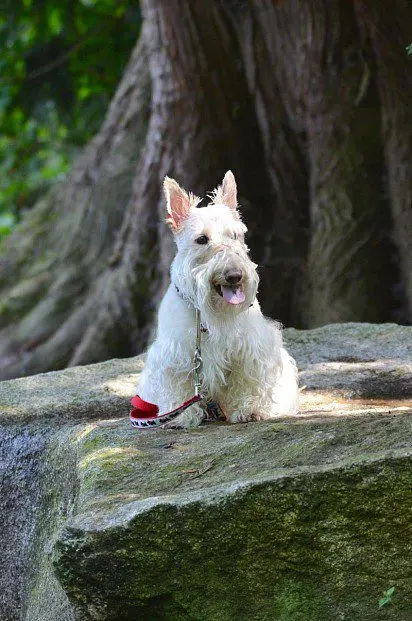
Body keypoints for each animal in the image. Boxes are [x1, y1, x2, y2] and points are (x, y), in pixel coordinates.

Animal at [135, 172, 300, 428]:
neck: (211, 312)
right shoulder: (175, 353)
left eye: (235, 235)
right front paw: (181, 415)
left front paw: (248, 409)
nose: (234, 276)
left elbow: (245, 380)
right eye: (202, 239)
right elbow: (179, 384)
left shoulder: (251, 348)